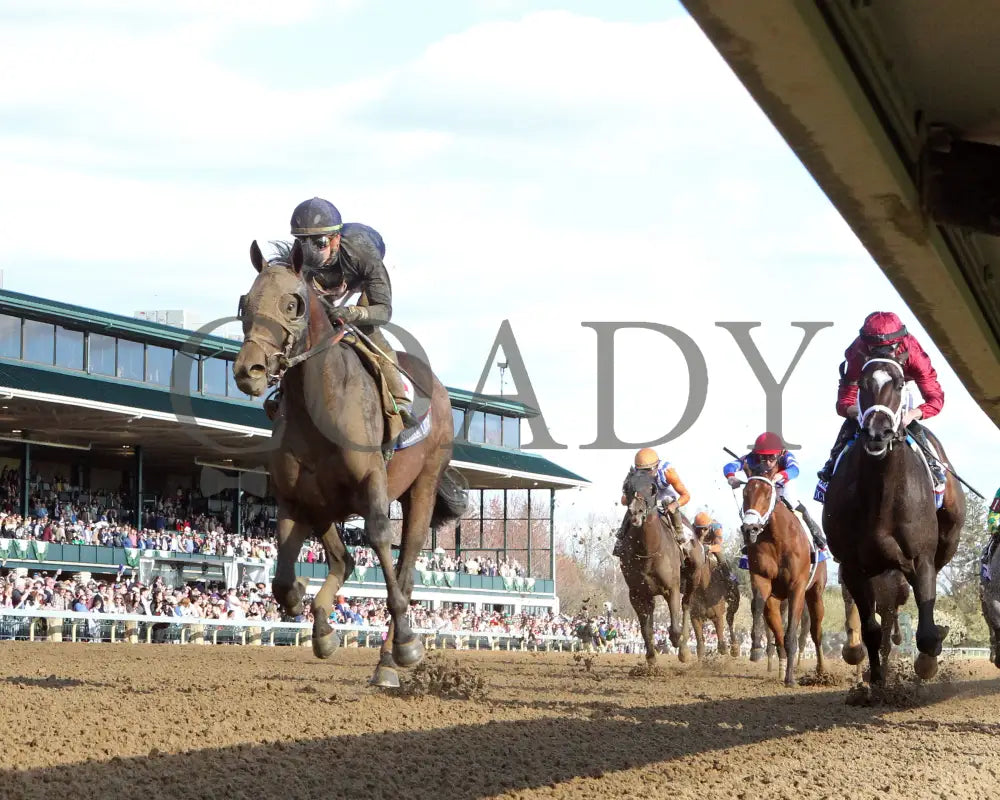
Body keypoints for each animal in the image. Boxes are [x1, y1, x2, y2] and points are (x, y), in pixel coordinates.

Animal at [233, 239, 468, 688]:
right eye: (244, 303)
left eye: (293, 304)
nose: (247, 370)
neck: (319, 408)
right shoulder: (295, 499)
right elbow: (285, 579)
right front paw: (311, 616)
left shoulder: (372, 483)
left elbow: (377, 538)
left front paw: (407, 643)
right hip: (326, 504)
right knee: (345, 560)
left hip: (423, 487)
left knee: (405, 573)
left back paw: (389, 662)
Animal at [616, 468, 696, 664]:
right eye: (627, 487)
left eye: (652, 489)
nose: (636, 512)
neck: (648, 551)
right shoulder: (637, 593)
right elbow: (646, 629)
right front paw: (651, 658)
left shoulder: (672, 588)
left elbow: (674, 629)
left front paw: (675, 643)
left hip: (693, 579)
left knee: (686, 605)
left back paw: (684, 651)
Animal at [740, 472, 824, 684]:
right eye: (745, 493)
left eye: (767, 493)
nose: (750, 528)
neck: (777, 538)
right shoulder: (761, 578)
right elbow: (757, 604)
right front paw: (755, 646)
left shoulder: (797, 587)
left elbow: (792, 632)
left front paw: (790, 678)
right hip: (776, 599)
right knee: (777, 631)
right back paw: (780, 665)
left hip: (815, 593)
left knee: (816, 632)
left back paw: (821, 670)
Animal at [820, 358, 968, 688]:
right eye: (862, 383)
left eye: (900, 384)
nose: (878, 433)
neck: (882, 499)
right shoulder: (854, 569)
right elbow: (871, 632)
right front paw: (874, 682)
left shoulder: (921, 559)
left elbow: (925, 634)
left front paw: (927, 662)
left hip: (949, 536)